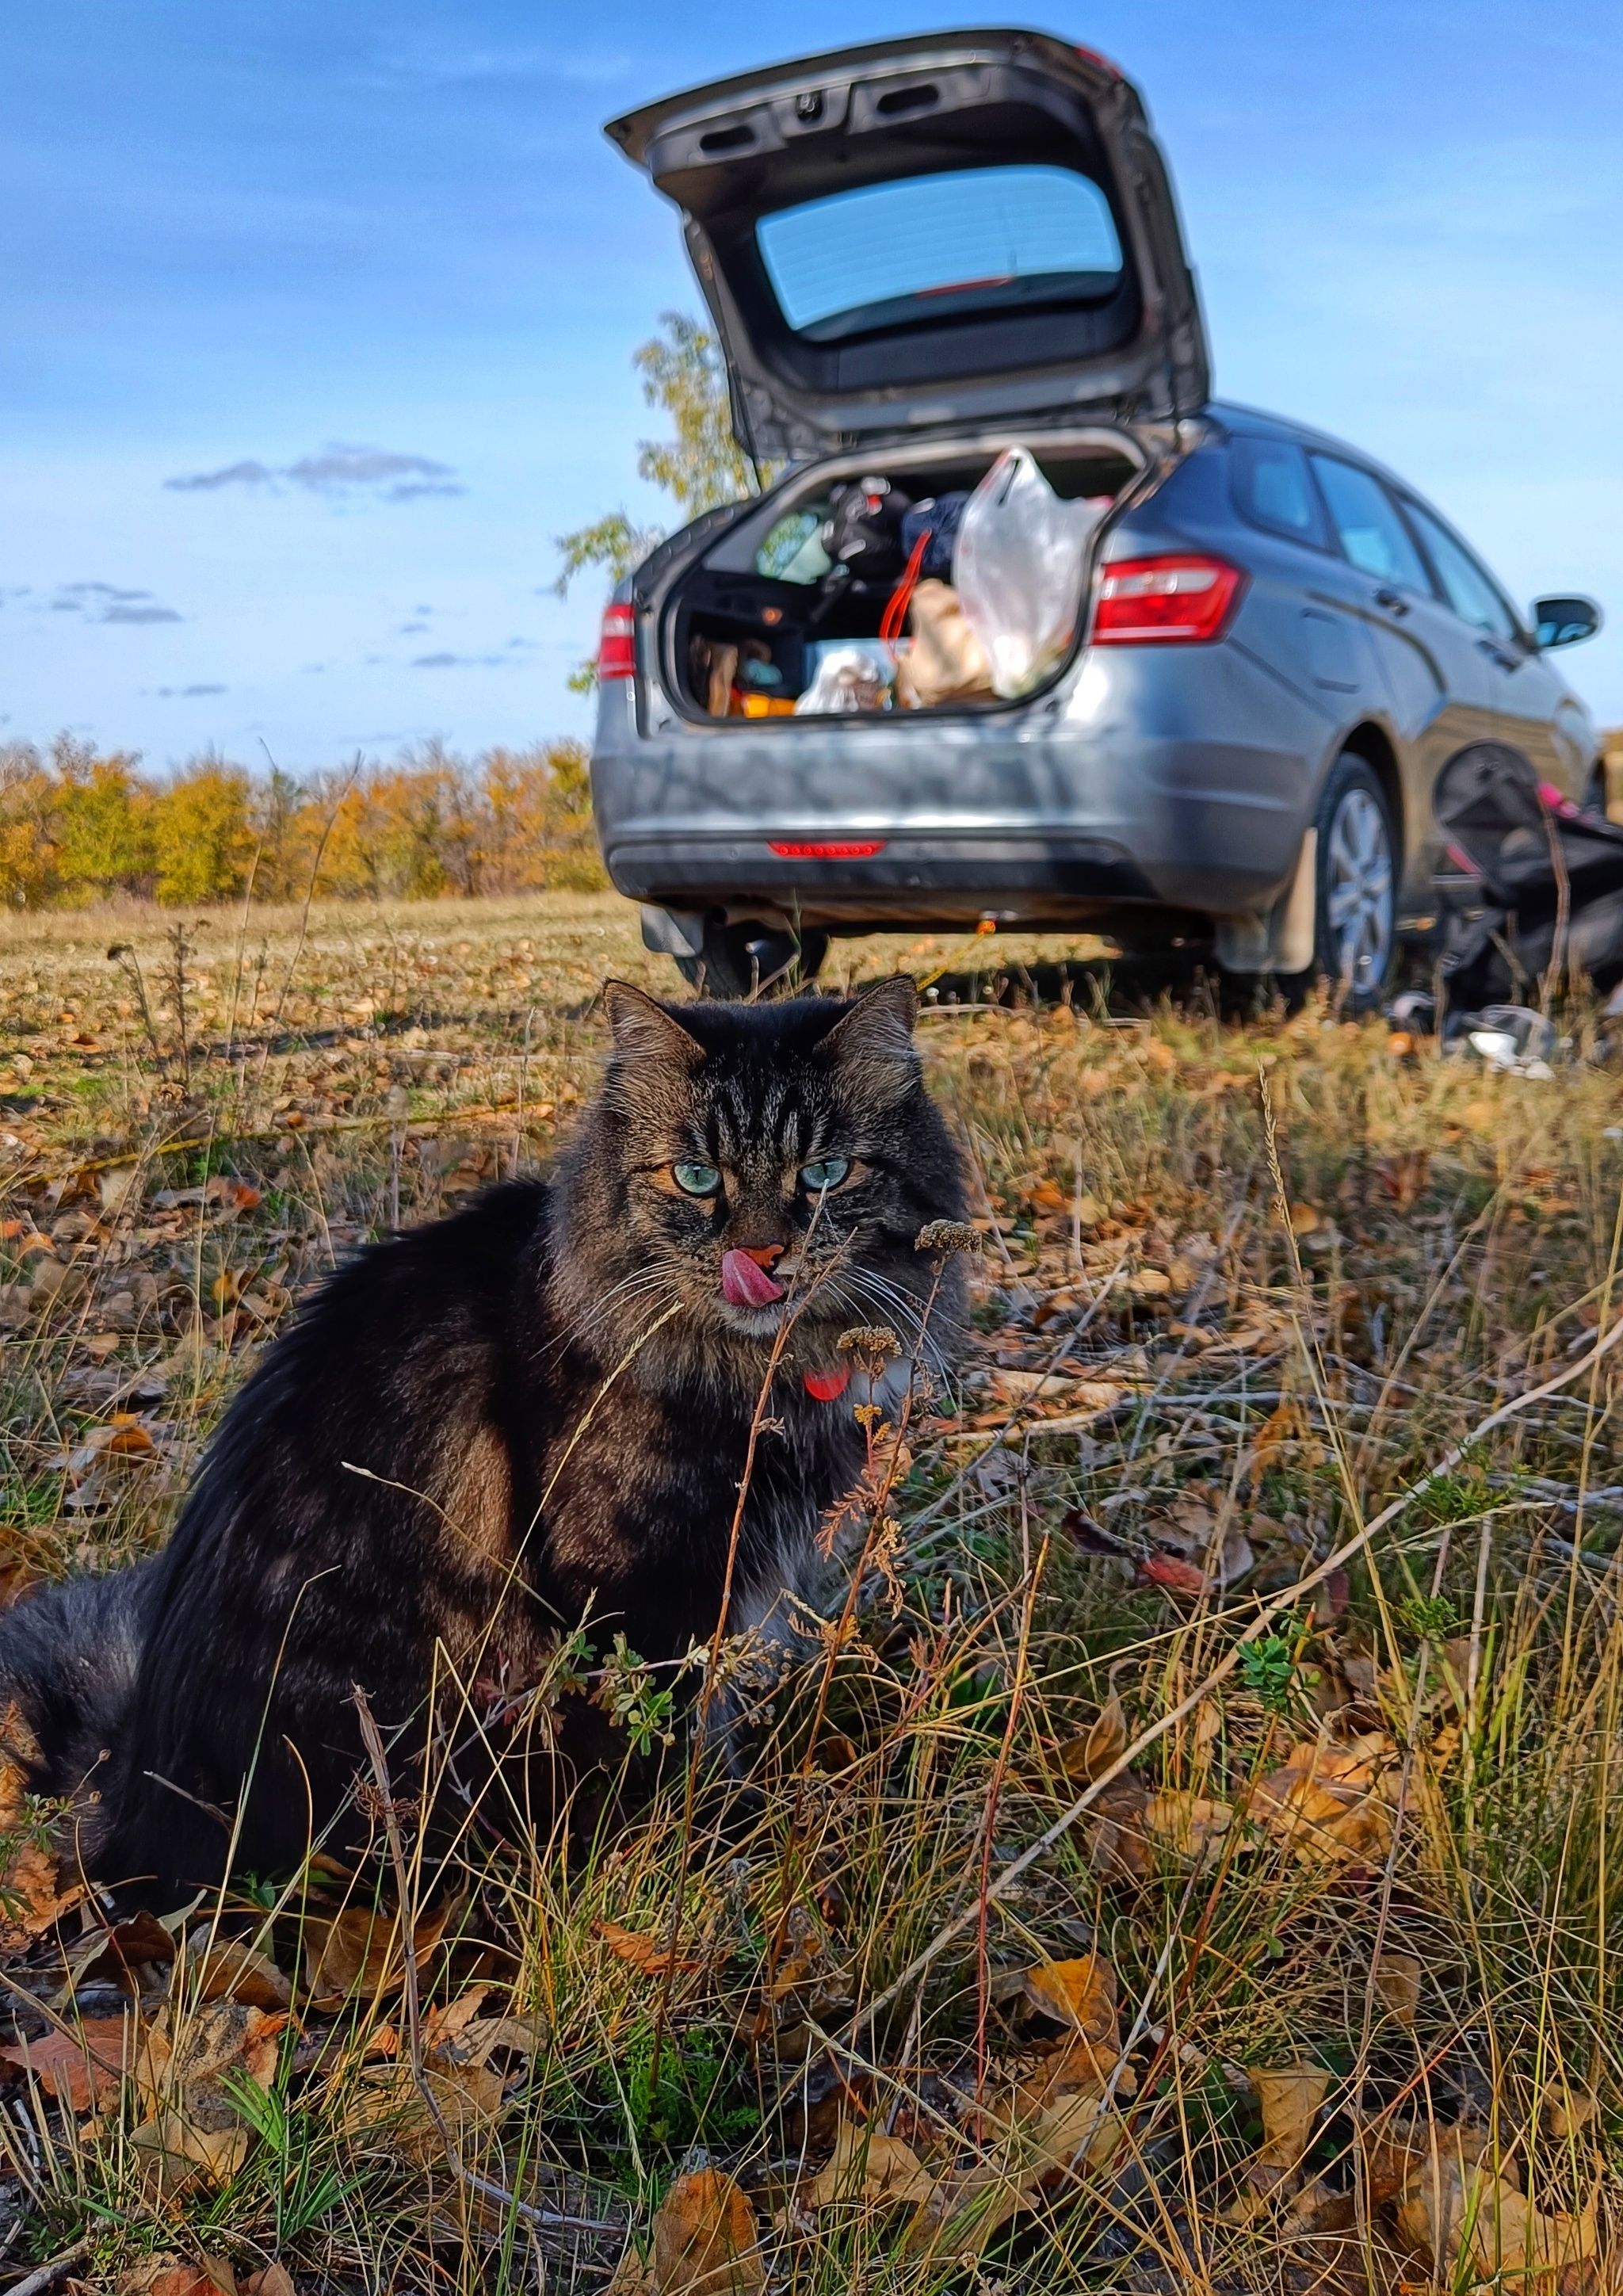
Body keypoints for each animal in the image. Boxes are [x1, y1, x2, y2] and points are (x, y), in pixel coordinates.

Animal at [0, 982, 964, 1901]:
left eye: (825, 1172)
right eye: (696, 1177)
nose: (761, 1258)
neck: (758, 1368)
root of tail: (127, 1791)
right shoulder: (638, 1594)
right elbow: (676, 1747)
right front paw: (721, 1854)